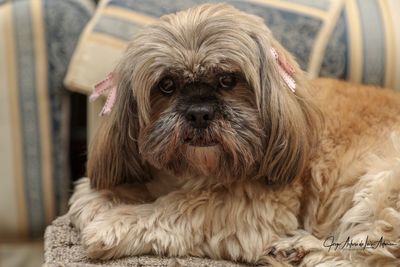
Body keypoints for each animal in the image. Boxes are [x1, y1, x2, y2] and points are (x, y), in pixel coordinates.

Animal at [69, 3, 400, 266]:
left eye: (228, 80)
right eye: (167, 85)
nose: (199, 112)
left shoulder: (254, 209)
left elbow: (177, 205)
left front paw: (114, 222)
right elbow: (91, 193)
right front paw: (104, 200)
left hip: (382, 188)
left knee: (367, 255)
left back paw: (298, 249)